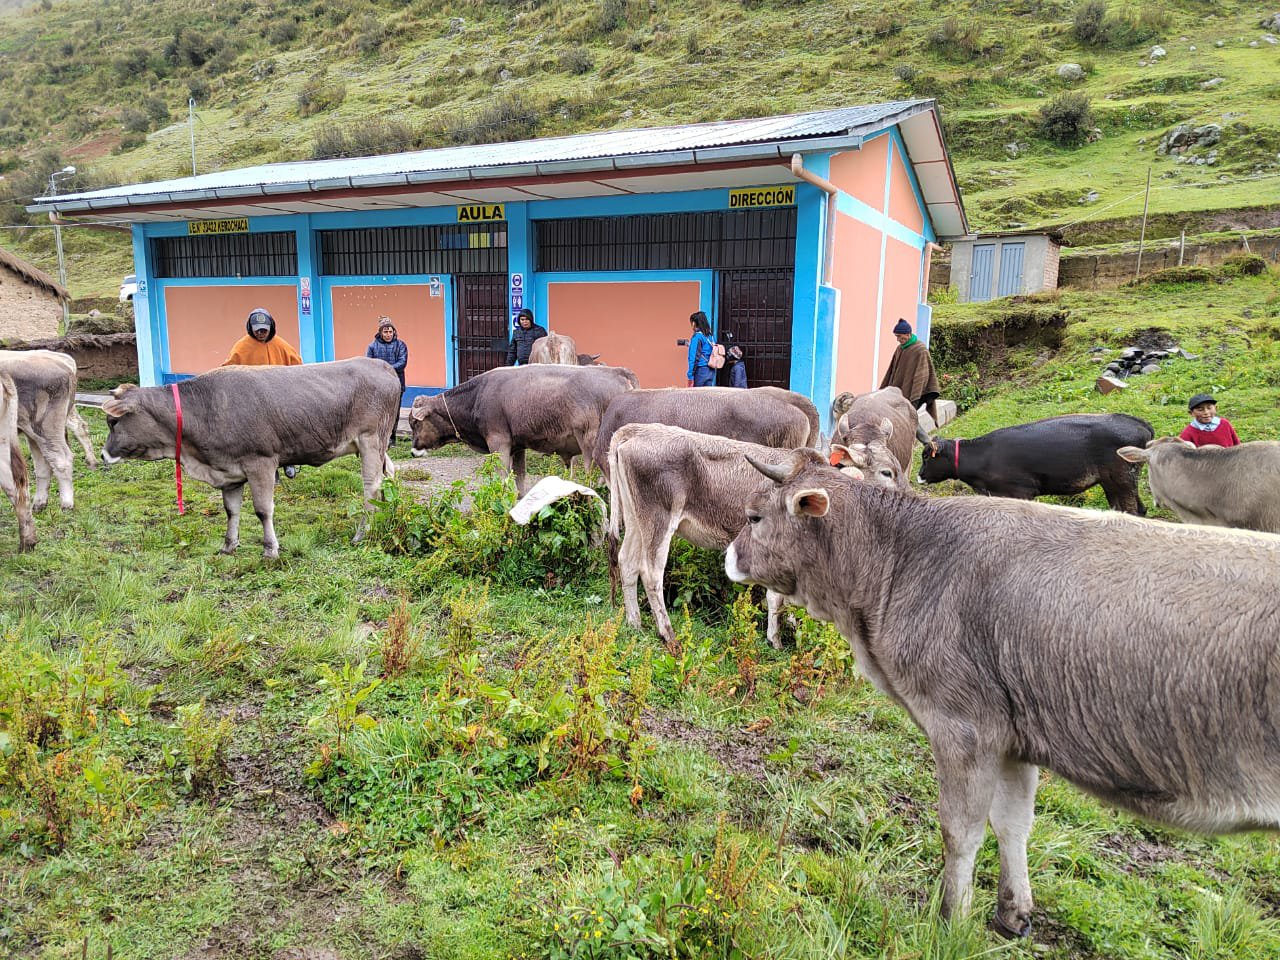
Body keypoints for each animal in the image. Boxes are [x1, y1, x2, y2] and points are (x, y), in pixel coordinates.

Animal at [103, 358, 396, 555]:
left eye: (113, 422)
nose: (104, 455)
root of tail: (381, 365)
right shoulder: (228, 471)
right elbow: (231, 510)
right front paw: (229, 545)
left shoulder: (261, 462)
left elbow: (263, 510)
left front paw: (270, 549)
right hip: (377, 446)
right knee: (387, 478)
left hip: (371, 440)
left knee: (370, 487)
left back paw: (362, 533)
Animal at [727, 450, 1280, 942]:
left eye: (754, 516)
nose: (729, 555)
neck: (899, 560)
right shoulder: (1015, 732)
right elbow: (1013, 823)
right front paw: (1013, 913)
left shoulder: (965, 726)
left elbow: (961, 829)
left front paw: (949, 921)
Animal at [916, 414, 1157, 519]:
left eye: (927, 456)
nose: (919, 476)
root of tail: (1139, 423)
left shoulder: (1021, 491)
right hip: (1113, 482)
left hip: (1122, 479)